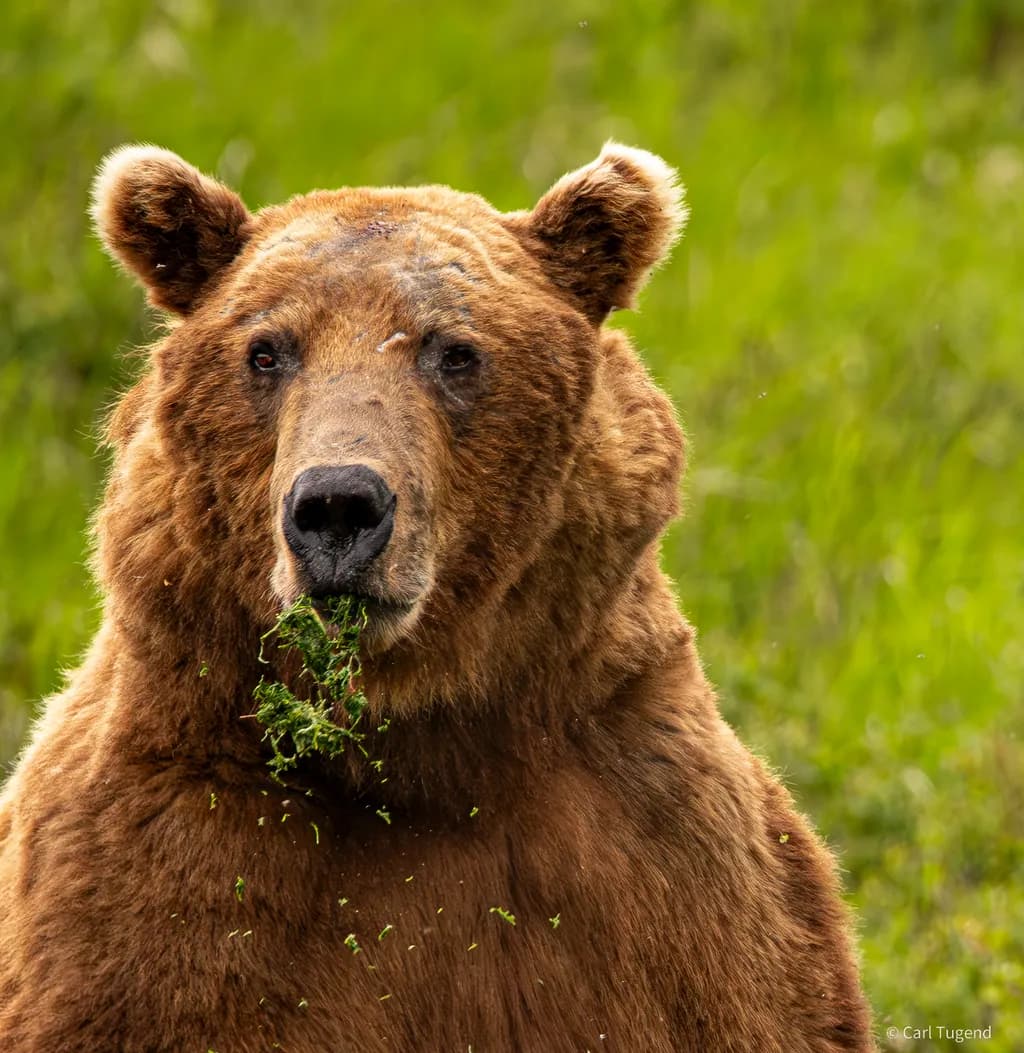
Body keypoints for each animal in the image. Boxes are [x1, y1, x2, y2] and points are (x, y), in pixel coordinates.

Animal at [0, 143, 874, 1052]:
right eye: (267, 351)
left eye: (453, 350)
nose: (337, 505)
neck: (422, 740)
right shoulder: (167, 857)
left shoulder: (658, 861)